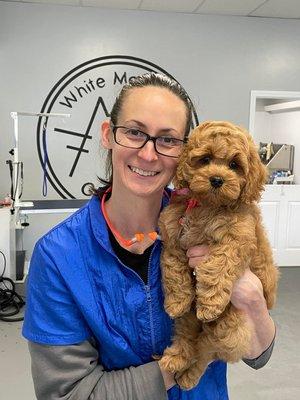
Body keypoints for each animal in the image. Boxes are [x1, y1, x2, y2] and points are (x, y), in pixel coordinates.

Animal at [159, 120, 278, 390]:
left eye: (234, 165)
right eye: (205, 159)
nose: (216, 179)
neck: (208, 205)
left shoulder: (236, 240)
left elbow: (219, 264)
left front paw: (211, 302)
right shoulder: (173, 235)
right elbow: (174, 268)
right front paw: (176, 301)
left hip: (229, 328)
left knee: (206, 353)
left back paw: (188, 375)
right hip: (191, 320)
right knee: (188, 335)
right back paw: (175, 358)